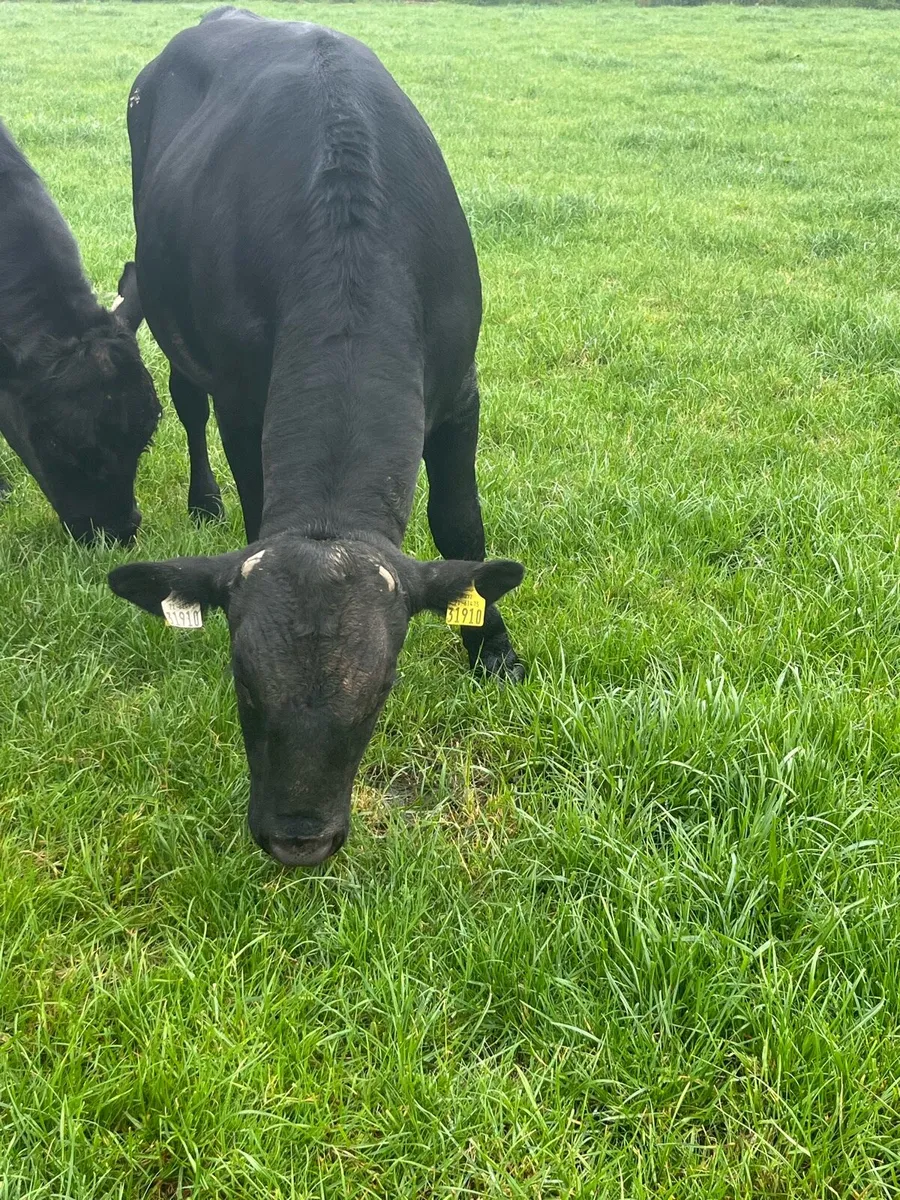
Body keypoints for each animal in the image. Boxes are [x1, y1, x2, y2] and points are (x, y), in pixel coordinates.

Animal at [107, 7, 525, 868]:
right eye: (242, 678)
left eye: (384, 684)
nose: (299, 839)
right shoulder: (243, 397)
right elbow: (253, 489)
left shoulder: (460, 387)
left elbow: (460, 525)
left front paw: (493, 649)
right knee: (187, 403)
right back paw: (202, 497)